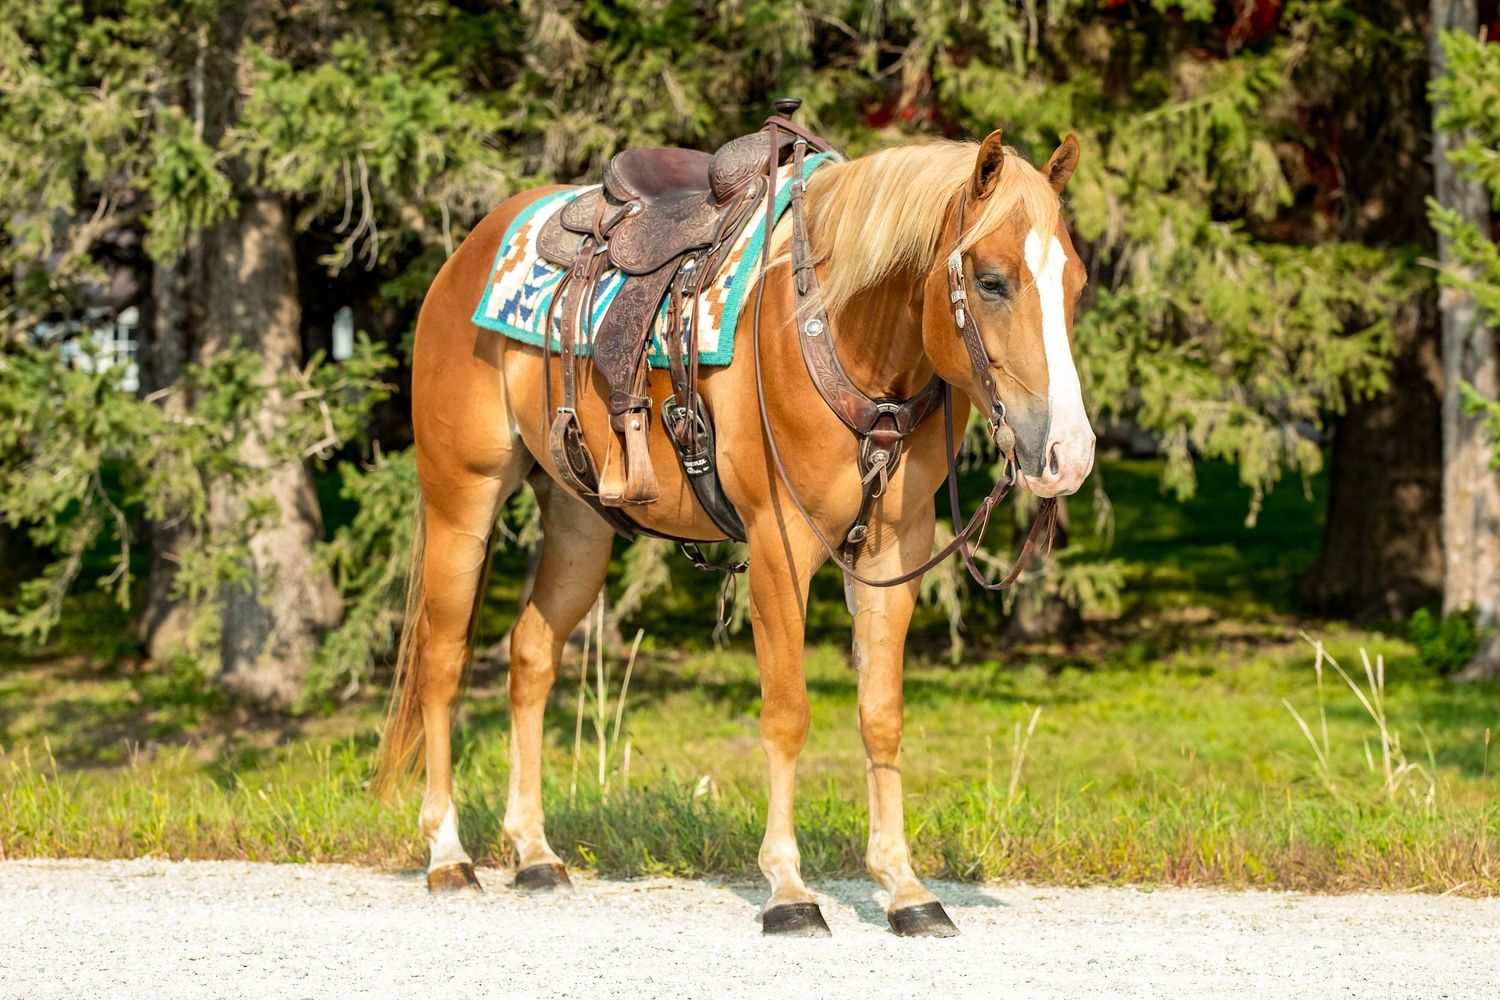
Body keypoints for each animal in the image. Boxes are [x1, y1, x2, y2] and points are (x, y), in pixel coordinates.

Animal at [373, 125, 1095, 938]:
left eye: (1075, 285)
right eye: (993, 281)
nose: (1068, 453)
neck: (837, 330)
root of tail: (469, 250)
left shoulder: (894, 553)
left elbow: (881, 715)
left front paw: (905, 888)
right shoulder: (780, 548)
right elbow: (787, 714)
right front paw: (788, 889)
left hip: (578, 518)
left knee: (529, 654)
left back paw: (534, 853)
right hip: (461, 500)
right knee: (442, 662)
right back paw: (447, 855)